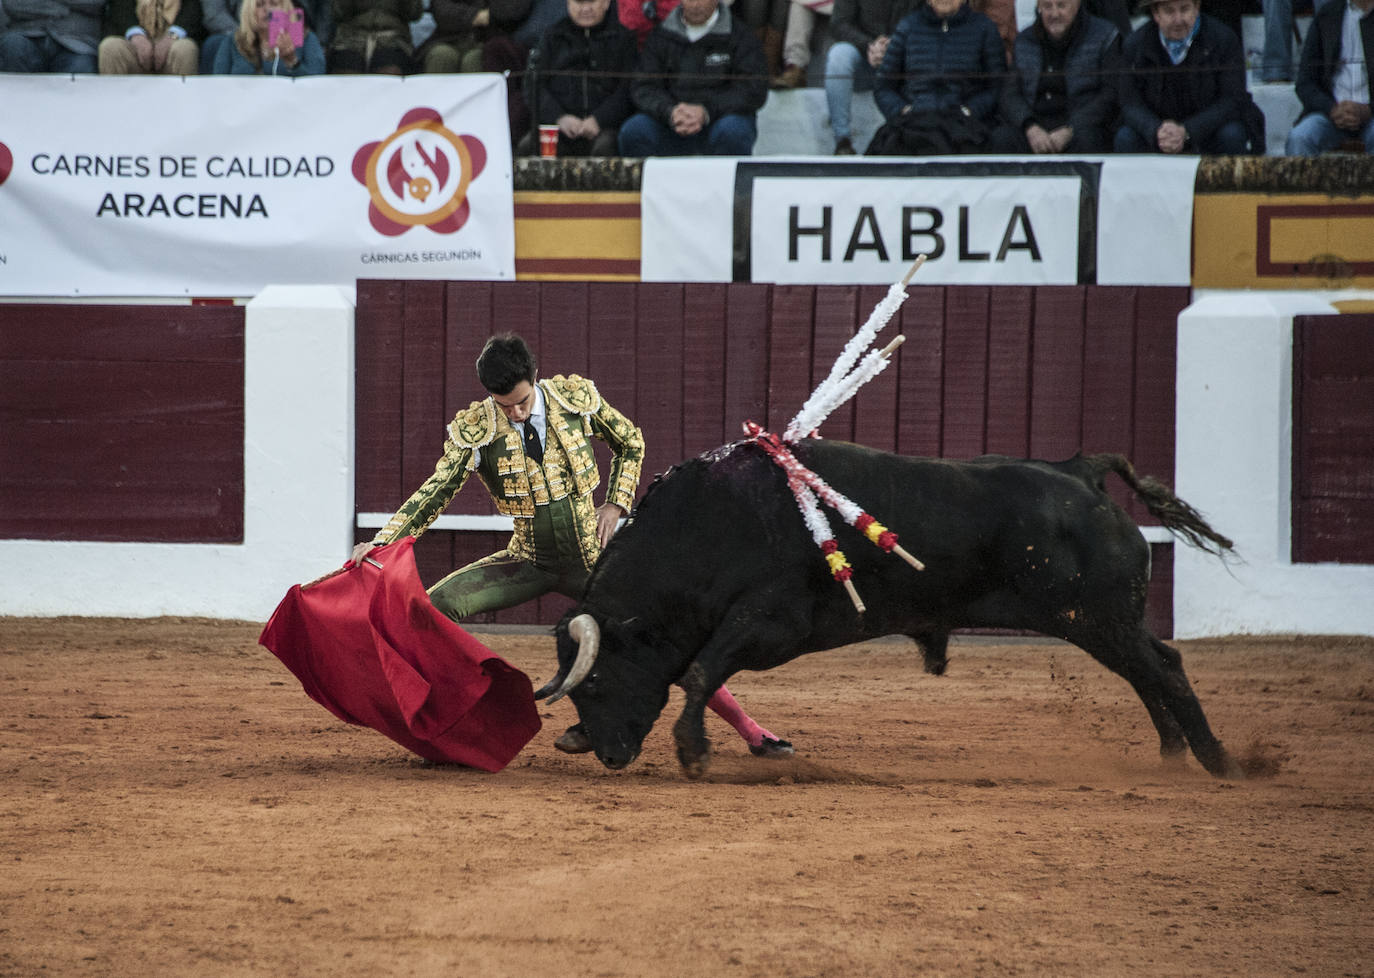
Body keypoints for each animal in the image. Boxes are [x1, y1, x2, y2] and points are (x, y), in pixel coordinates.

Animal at [535, 439, 1247, 785]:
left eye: (593, 684)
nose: (605, 753)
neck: (704, 524)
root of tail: (1080, 471)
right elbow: (698, 673)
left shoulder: (769, 622)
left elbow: (701, 671)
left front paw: (692, 753)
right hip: (1098, 623)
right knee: (1147, 672)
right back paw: (1173, 755)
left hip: (1097, 618)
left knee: (1163, 668)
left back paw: (1216, 761)